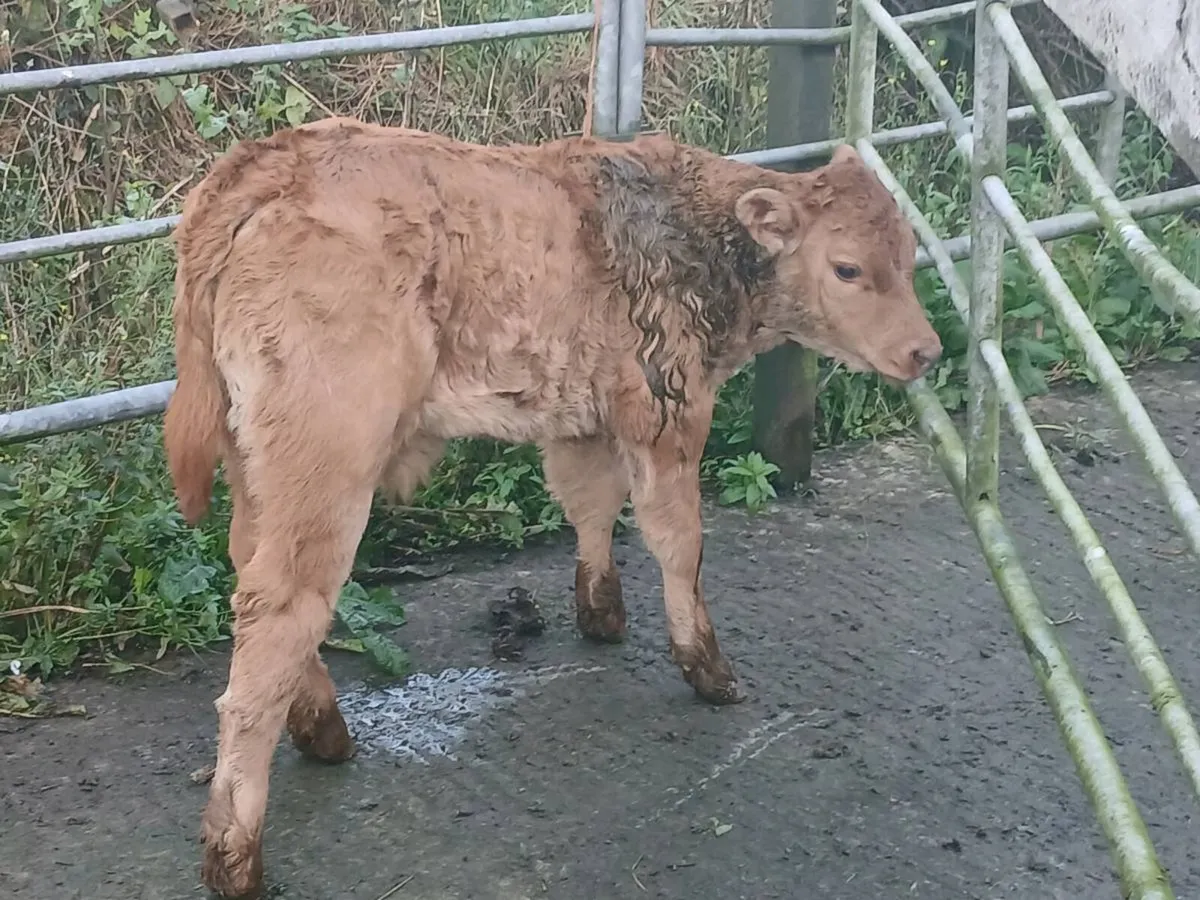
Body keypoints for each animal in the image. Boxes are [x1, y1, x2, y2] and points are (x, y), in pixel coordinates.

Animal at [162, 115, 942, 898]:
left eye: (908, 258)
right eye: (847, 269)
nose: (926, 351)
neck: (694, 230)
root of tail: (268, 162)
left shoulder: (587, 418)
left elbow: (591, 505)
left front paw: (600, 612)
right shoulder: (668, 411)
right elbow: (678, 540)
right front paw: (707, 667)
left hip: (258, 461)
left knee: (252, 574)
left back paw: (321, 729)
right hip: (327, 458)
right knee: (281, 614)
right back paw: (236, 851)